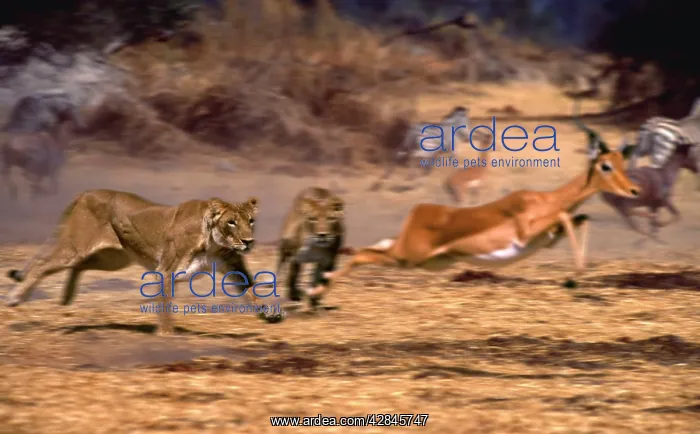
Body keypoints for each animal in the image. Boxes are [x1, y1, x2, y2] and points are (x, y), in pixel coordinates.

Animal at [5, 189, 283, 335]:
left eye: (250, 220)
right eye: (231, 222)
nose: (248, 241)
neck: (215, 241)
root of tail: (86, 193)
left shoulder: (232, 264)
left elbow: (252, 289)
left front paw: (270, 314)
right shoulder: (166, 269)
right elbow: (165, 305)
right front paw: (167, 336)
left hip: (112, 258)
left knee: (78, 266)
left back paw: (67, 296)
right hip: (75, 248)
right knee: (43, 265)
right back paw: (15, 298)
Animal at [316, 133, 640, 292]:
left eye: (622, 163)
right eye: (605, 165)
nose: (634, 190)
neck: (545, 200)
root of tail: (418, 211)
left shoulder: (548, 238)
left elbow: (581, 219)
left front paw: (575, 278)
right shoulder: (526, 234)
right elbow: (565, 216)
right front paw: (576, 275)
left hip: (423, 260)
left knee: (369, 249)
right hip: (408, 257)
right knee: (362, 254)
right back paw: (318, 291)